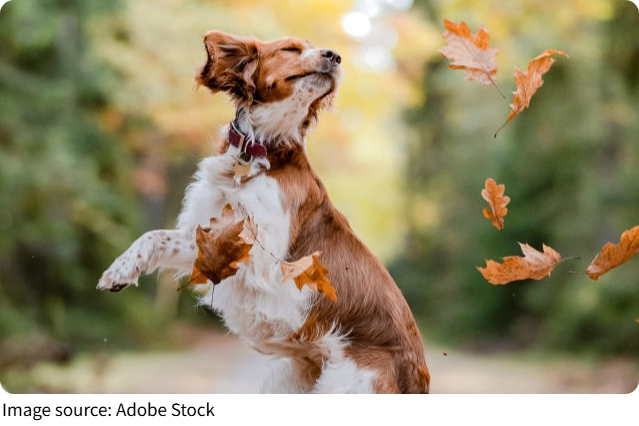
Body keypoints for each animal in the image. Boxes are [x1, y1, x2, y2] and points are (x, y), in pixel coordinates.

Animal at [97, 31, 430, 394]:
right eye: (290, 49)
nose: (335, 56)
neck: (260, 149)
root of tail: (417, 376)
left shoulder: (265, 255)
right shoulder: (206, 225)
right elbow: (155, 237)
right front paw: (119, 270)